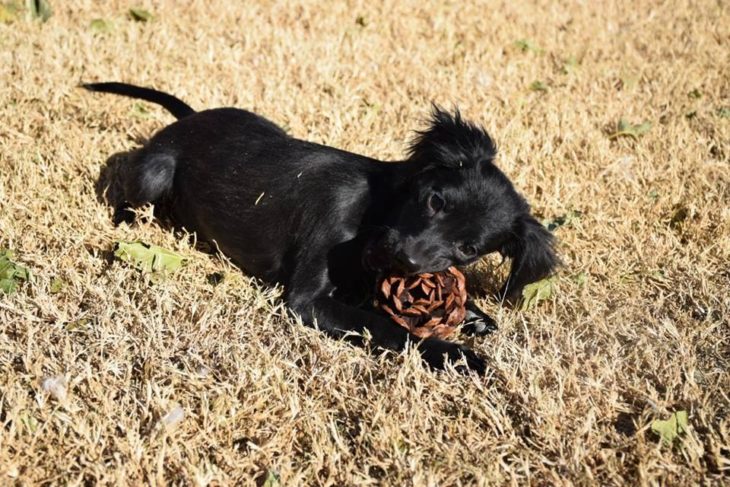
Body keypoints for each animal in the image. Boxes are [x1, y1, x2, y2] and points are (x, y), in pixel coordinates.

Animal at [82, 82, 556, 376]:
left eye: (469, 249)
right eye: (435, 201)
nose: (405, 258)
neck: (373, 208)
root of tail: (189, 119)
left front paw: (474, 316)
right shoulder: (307, 300)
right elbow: (388, 328)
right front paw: (457, 356)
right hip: (154, 174)